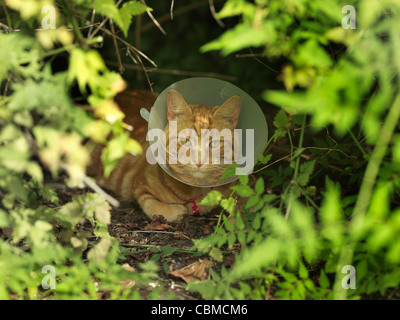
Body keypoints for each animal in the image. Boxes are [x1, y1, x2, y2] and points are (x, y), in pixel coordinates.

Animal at [88, 89, 241, 221]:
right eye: (185, 140)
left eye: (214, 143)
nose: (198, 161)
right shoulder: (137, 184)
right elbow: (152, 205)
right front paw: (175, 211)